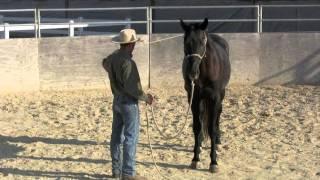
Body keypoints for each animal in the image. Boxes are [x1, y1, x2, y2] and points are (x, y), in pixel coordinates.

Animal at [180, 18, 230, 173]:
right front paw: (195, 158)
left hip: (221, 95)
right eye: (186, 42)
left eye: (202, 42)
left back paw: (218, 142)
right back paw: (201, 143)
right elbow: (197, 126)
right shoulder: (194, 97)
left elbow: (212, 128)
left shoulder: (215, 97)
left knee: (218, 114)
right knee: (202, 117)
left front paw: (213, 162)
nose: (192, 73)